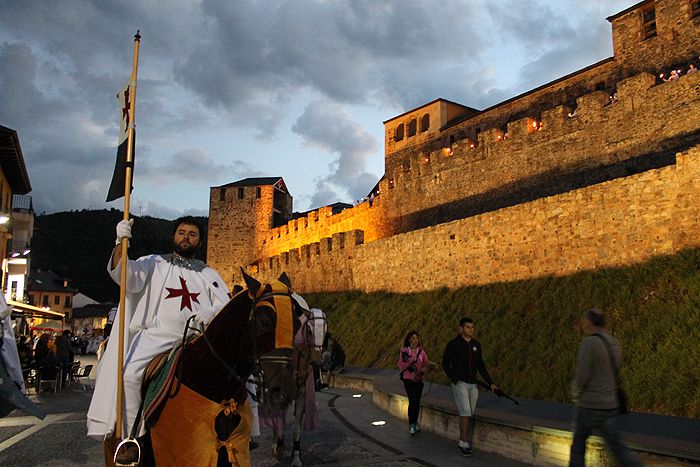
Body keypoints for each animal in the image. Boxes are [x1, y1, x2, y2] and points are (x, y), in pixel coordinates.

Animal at [264, 306, 326, 466]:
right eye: (309, 330)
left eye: (326, 330)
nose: (317, 361)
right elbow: (277, 419)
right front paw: (277, 449)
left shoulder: (301, 395)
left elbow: (297, 428)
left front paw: (296, 457)